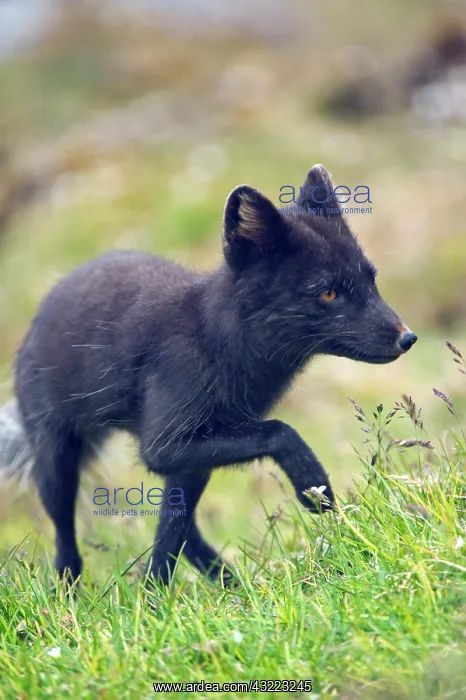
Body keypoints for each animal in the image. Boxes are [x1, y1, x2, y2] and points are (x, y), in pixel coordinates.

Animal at [0, 164, 417, 589]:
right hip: (56, 461)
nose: (408, 338)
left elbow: (173, 532)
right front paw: (312, 485)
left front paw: (157, 598)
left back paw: (227, 583)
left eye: (371, 280)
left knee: (184, 529)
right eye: (329, 293)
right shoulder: (165, 445)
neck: (217, 340)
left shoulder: (198, 446)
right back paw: (67, 592)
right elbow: (281, 430)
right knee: (65, 536)